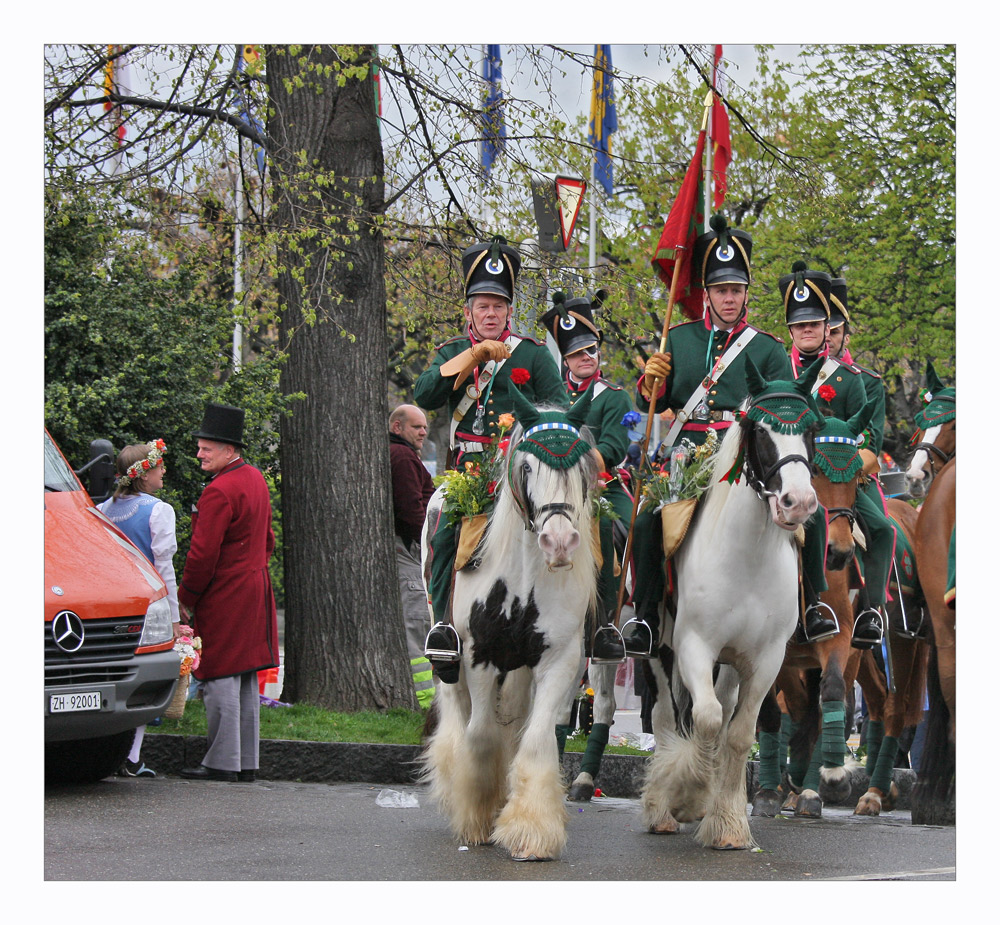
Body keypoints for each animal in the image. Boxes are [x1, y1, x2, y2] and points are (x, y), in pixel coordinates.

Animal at [422, 384, 600, 860]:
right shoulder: (480, 657)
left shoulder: (558, 661)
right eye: (526, 466)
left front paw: (530, 828)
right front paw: (477, 816)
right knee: (457, 718)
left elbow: (536, 739)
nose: (559, 542)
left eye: (580, 467)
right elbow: (480, 735)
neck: (524, 581)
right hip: (452, 660)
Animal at [640, 360, 820, 852]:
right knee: (667, 716)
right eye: (760, 429)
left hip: (732, 663)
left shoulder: (766, 659)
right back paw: (661, 808)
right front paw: (688, 795)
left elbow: (737, 735)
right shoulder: (693, 646)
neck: (748, 556)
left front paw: (727, 823)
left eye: (812, 427)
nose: (798, 503)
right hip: (659, 650)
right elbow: (703, 719)